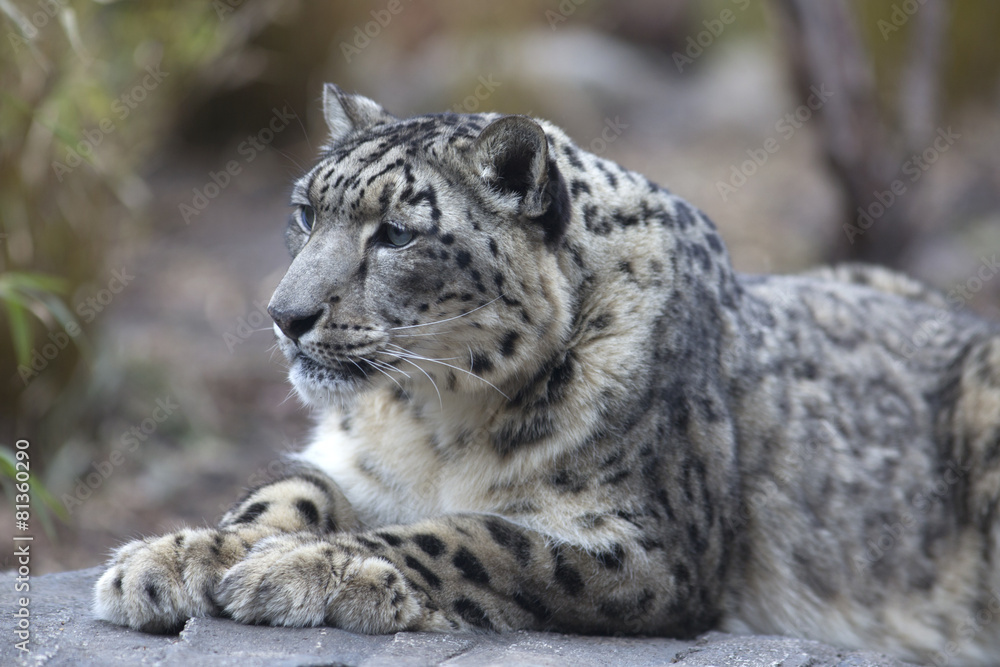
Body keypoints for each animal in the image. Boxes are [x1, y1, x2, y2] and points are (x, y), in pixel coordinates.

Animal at [94, 84, 1000, 666]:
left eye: (397, 233)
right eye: (305, 212)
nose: (286, 314)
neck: (432, 420)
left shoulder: (650, 544)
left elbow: (482, 537)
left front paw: (307, 567)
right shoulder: (349, 462)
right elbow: (284, 491)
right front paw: (172, 558)